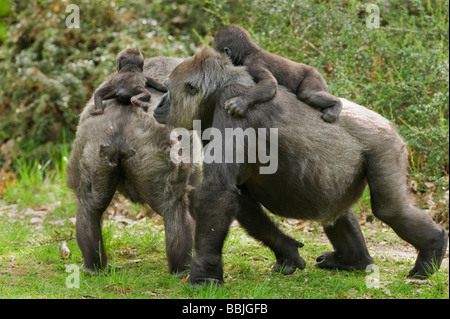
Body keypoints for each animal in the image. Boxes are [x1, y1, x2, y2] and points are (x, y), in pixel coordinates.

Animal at [154, 48, 446, 288]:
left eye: (169, 89)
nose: (159, 103)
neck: (217, 90)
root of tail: (390, 125)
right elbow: (238, 196)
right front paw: (287, 252)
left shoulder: (230, 103)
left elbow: (218, 189)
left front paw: (204, 275)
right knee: (337, 211)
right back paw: (353, 260)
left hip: (386, 145)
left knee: (390, 209)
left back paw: (432, 248)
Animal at [213, 24, 342, 122]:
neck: (249, 51)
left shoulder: (253, 64)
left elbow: (269, 83)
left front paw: (241, 102)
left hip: (315, 76)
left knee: (308, 94)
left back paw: (336, 104)